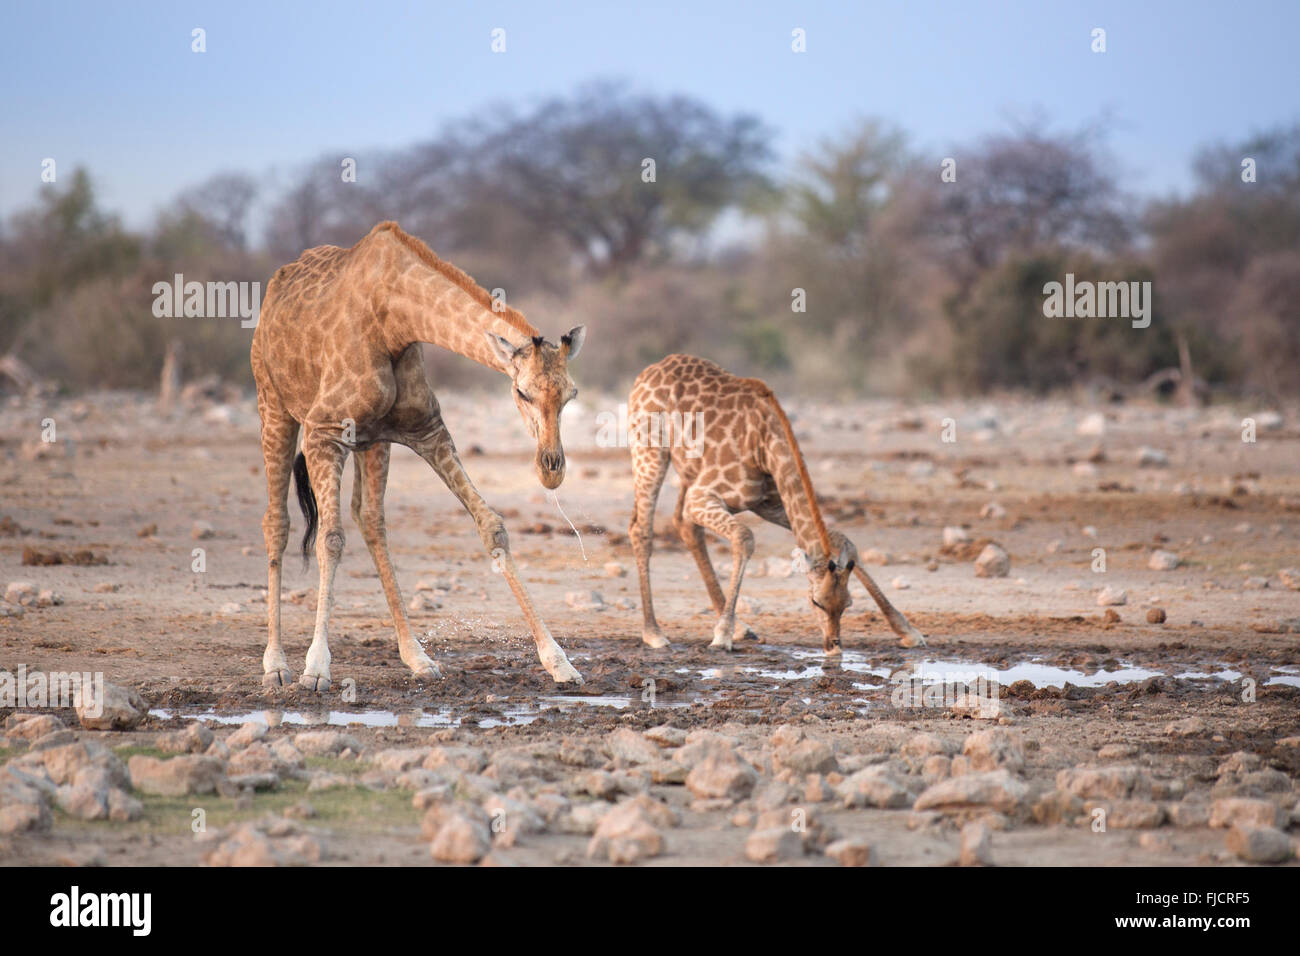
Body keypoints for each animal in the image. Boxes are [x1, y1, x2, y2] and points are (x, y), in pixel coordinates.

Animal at [250, 221, 585, 691]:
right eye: (522, 392)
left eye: (571, 394)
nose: (551, 470)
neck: (396, 318)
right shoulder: (324, 431)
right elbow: (330, 540)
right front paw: (315, 669)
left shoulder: (425, 429)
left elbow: (492, 526)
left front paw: (560, 662)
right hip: (274, 407)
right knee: (277, 522)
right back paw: (276, 665)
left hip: (372, 441)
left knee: (370, 519)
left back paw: (417, 657)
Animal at [626, 354, 927, 653]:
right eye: (816, 602)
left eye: (847, 604)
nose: (833, 646)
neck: (765, 446)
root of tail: (651, 369)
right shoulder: (702, 497)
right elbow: (744, 537)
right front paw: (721, 636)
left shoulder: (770, 504)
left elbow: (844, 540)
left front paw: (909, 631)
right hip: (650, 451)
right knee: (641, 529)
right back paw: (654, 633)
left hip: (689, 471)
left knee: (684, 525)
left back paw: (741, 628)